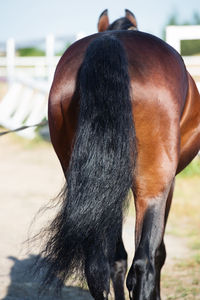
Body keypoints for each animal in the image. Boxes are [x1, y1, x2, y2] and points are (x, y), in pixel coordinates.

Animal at [38, 8, 200, 300]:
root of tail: (110, 41)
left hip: (97, 185)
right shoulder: (168, 185)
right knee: (144, 263)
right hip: (152, 185)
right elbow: (158, 253)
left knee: (99, 266)